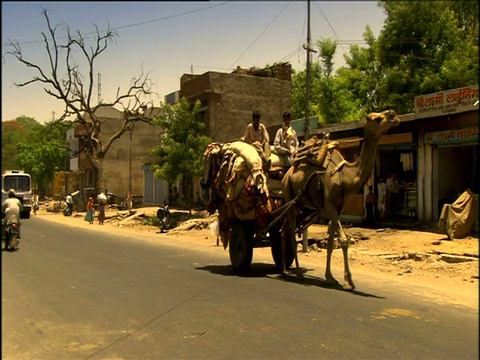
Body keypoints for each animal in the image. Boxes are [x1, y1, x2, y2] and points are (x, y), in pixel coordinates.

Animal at [282, 109, 402, 290]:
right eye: (377, 118)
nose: (394, 115)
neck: (345, 177)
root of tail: (287, 174)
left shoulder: (338, 208)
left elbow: (332, 242)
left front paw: (331, 277)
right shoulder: (330, 206)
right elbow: (344, 240)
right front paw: (348, 281)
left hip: (301, 205)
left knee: (284, 230)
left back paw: (284, 269)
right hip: (289, 196)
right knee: (289, 232)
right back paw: (297, 273)